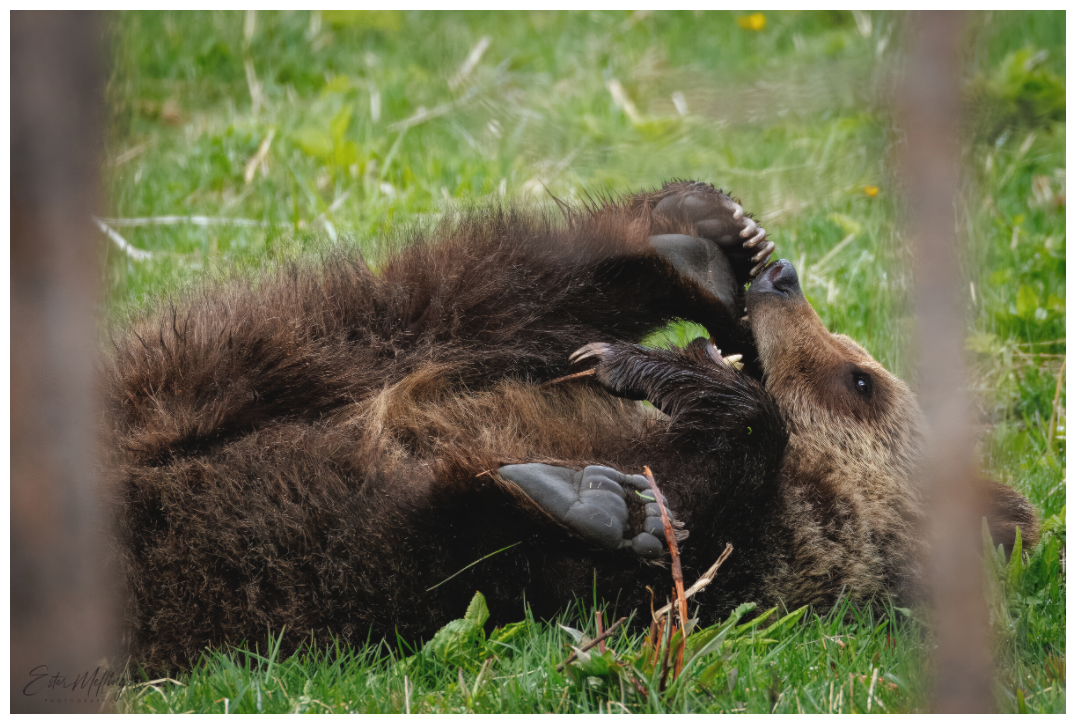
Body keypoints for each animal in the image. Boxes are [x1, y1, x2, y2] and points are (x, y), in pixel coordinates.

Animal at [103, 181, 1037, 674]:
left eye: (860, 381)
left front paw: (608, 495)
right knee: (436, 303)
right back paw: (692, 239)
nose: (784, 281)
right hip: (226, 369)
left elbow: (493, 536)